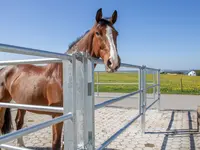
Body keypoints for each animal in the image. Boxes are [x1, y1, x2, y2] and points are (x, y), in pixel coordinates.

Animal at [0, 8, 120, 150]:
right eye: (98, 33)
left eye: (116, 34)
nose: (113, 62)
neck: (62, 76)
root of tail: (4, 69)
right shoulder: (57, 115)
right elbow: (56, 143)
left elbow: (62, 143)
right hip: (3, 103)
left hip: (22, 103)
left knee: (19, 121)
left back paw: (21, 145)